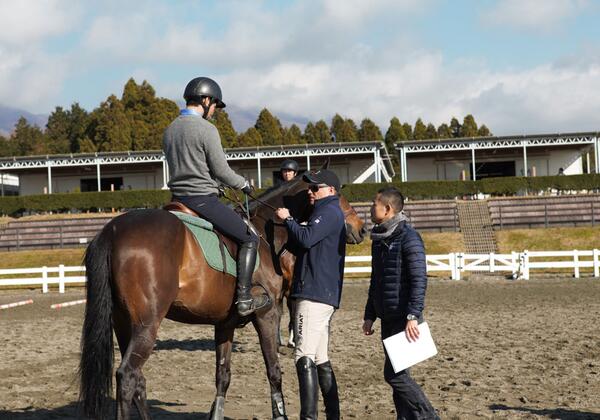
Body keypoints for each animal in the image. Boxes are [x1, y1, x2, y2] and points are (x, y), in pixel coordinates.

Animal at [78, 171, 368, 420]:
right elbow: (274, 371)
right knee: (127, 376)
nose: (362, 229)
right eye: (338, 194)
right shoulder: (267, 314)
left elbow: (223, 375)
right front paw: (280, 413)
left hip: (123, 323)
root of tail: (112, 230)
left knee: (138, 379)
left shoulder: (225, 323)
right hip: (146, 324)